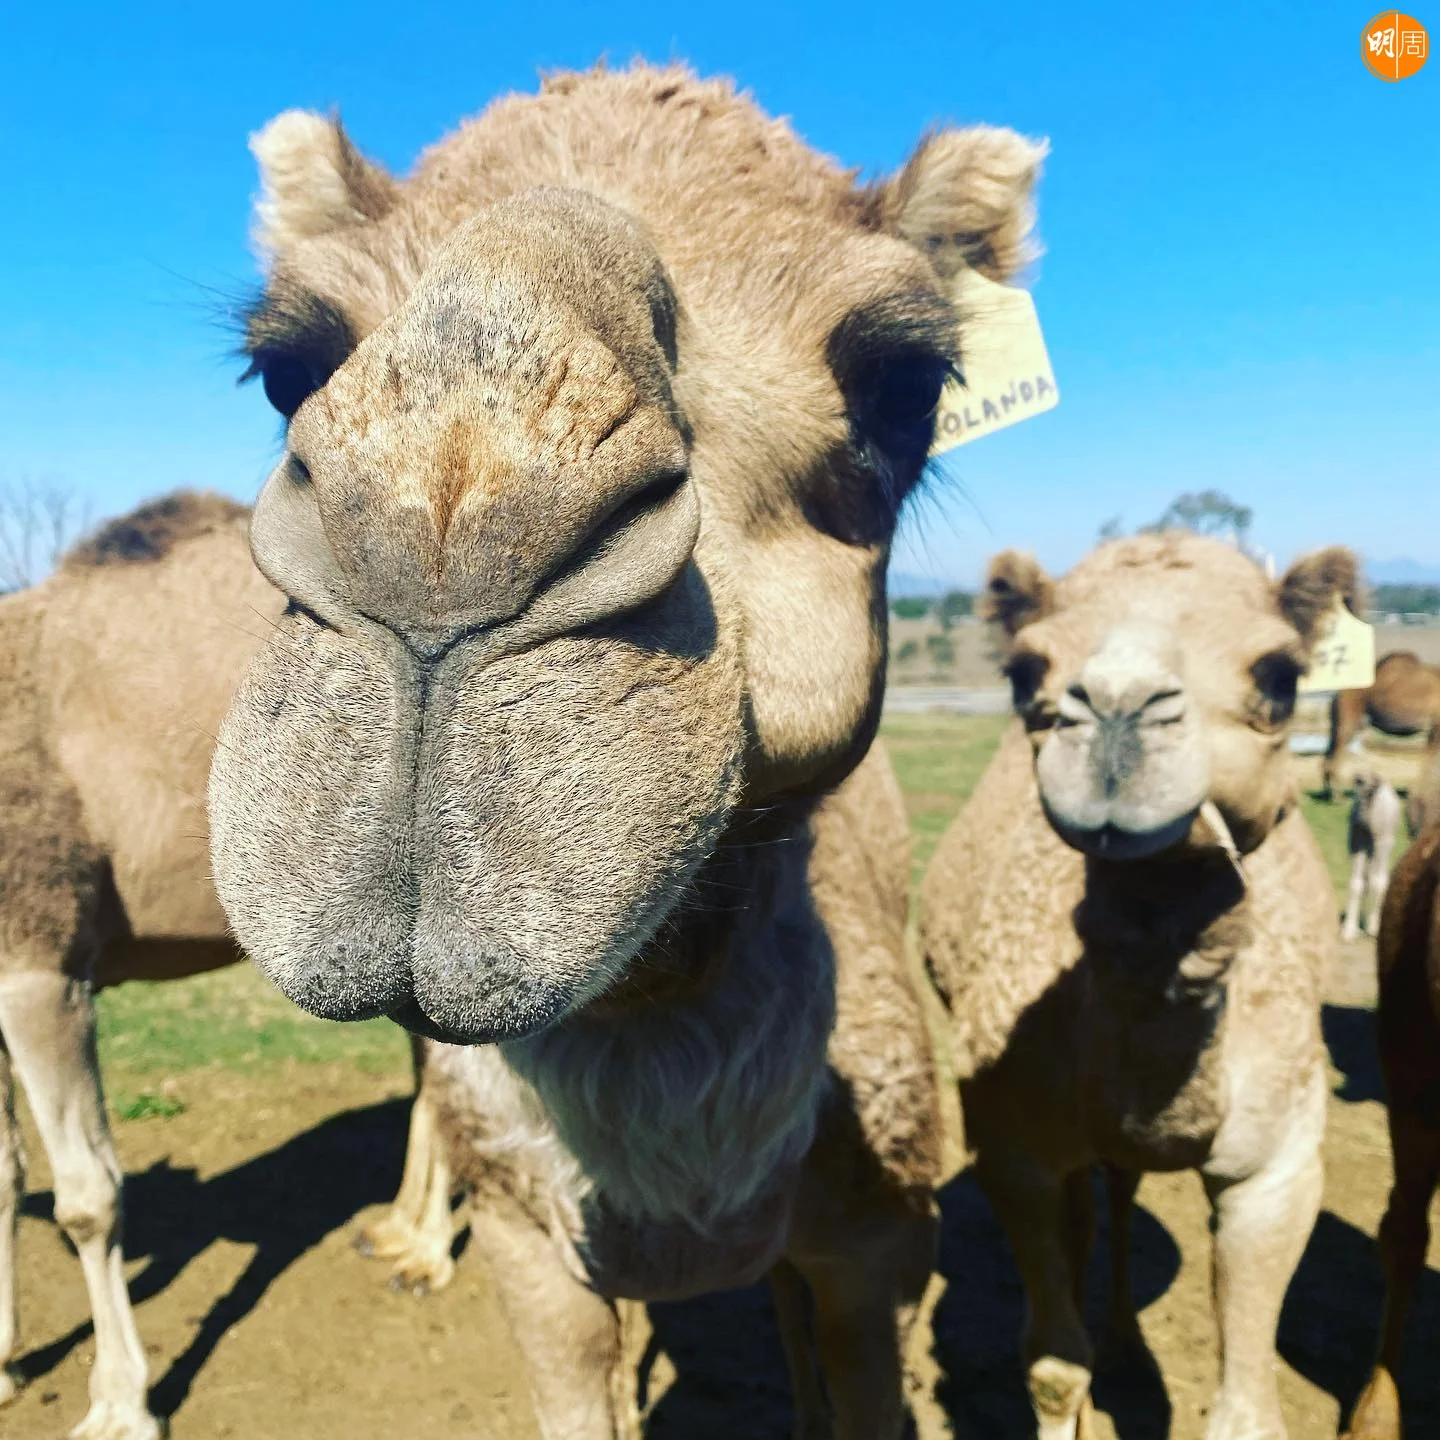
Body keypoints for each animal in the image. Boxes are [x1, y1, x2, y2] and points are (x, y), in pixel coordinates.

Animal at [920, 532, 1355, 1440]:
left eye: (1281, 677)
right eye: (1025, 674)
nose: (1118, 707)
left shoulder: (1280, 1167)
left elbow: (1248, 1410)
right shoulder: (1011, 1148)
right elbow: (1052, 1365)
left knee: (1119, 1190)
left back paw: (1124, 1340)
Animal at [1322, 650, 1440, 799]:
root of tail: (1337, 693)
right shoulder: (1436, 726)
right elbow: (1429, 760)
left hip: (1345, 722)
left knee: (1328, 754)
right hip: (1348, 719)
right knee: (1336, 756)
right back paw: (1337, 796)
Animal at [1343, 772, 1402, 942]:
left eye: (1371, 792)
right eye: (1356, 792)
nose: (1357, 820)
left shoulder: (1381, 843)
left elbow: (1377, 883)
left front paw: (1373, 928)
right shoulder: (1357, 844)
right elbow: (1356, 883)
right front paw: (1349, 930)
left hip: (1385, 844)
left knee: (1380, 879)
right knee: (1367, 879)